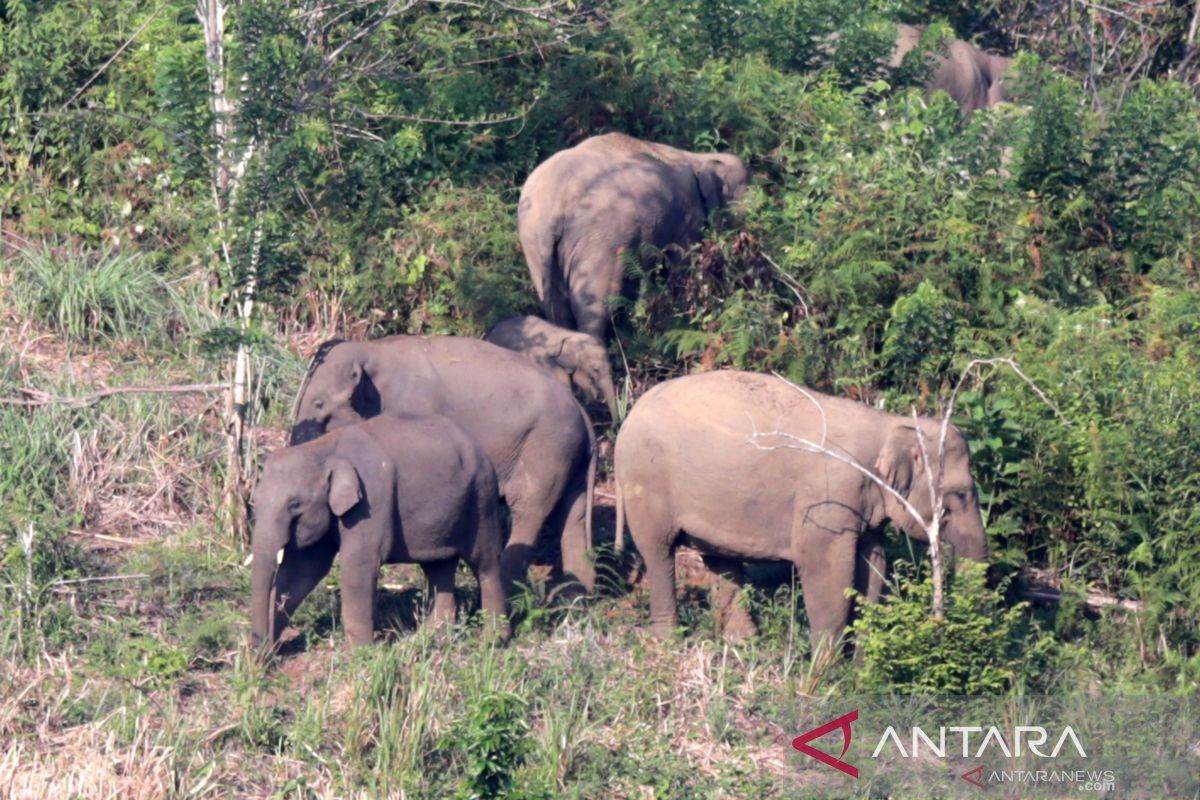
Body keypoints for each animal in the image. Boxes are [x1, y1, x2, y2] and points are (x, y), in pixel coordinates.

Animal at [250, 412, 508, 652]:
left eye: (294, 504)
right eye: (255, 501)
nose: (262, 658)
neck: (323, 448)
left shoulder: (371, 501)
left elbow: (358, 566)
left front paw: (361, 654)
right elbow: (304, 570)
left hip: (482, 498)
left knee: (485, 564)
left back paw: (493, 641)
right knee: (439, 567)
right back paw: (432, 637)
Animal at [286, 335, 595, 592]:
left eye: (319, 404)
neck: (372, 349)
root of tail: (584, 412)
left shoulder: (414, 406)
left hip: (546, 448)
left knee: (528, 509)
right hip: (569, 455)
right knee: (573, 516)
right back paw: (577, 596)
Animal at [484, 314, 619, 419]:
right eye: (596, 370)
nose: (614, 425)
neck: (571, 335)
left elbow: (579, 380)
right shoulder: (548, 362)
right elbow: (565, 383)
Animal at [518, 133, 748, 340]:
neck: (699, 157)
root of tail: (555, 205)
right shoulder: (688, 218)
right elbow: (684, 265)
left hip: (534, 243)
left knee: (558, 312)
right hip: (599, 242)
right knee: (596, 309)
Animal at [614, 371, 988, 647]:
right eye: (959, 495)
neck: (888, 425)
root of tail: (628, 416)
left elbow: (873, 565)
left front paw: (859, 662)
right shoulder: (827, 496)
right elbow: (826, 568)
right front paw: (823, 672)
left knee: (721, 559)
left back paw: (742, 642)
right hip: (645, 482)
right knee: (658, 552)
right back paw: (668, 641)